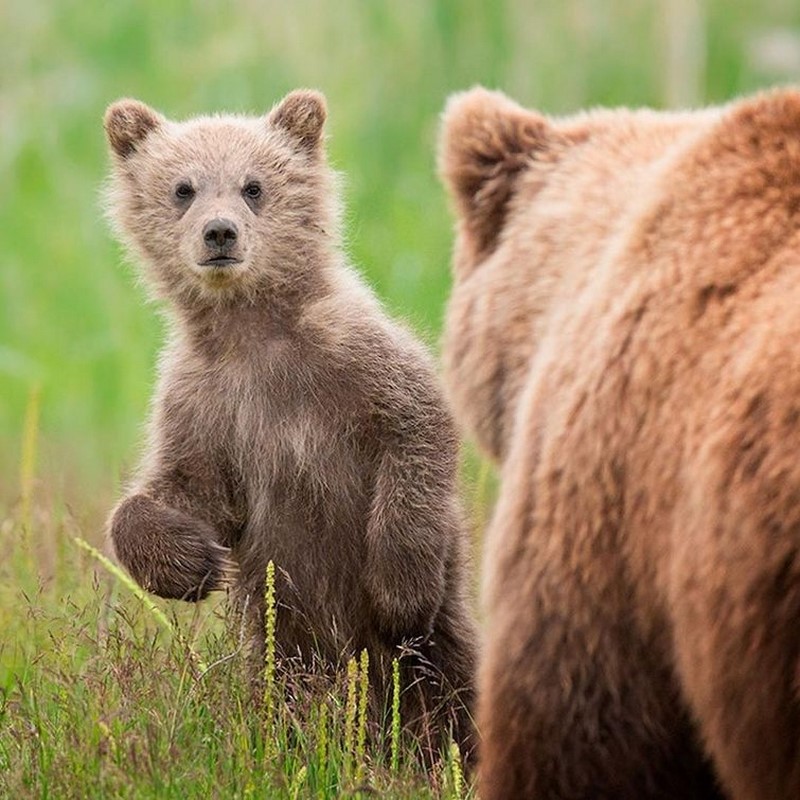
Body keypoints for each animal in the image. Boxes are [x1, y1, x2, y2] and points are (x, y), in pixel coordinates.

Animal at [100, 90, 476, 760]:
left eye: (253, 186)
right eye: (183, 188)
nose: (219, 232)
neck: (251, 331)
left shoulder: (351, 361)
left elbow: (419, 425)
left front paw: (398, 589)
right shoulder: (206, 404)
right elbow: (180, 489)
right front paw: (192, 565)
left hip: (444, 633)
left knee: (455, 682)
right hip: (286, 640)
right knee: (291, 690)